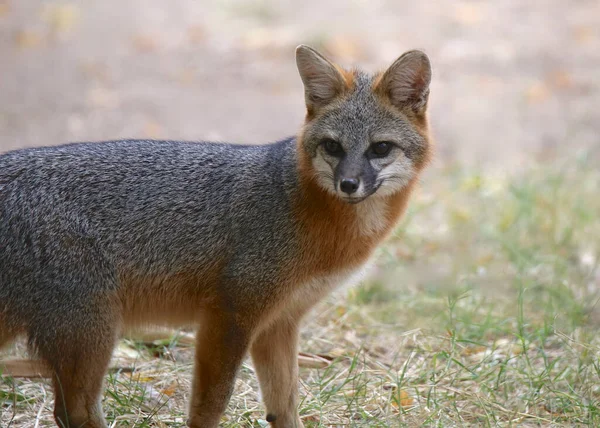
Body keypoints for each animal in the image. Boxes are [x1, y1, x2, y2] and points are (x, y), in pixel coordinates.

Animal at [0, 45, 432, 426]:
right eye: (333, 146)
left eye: (380, 148)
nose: (348, 184)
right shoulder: (230, 315)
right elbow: (211, 405)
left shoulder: (279, 324)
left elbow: (285, 407)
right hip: (94, 334)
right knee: (75, 414)